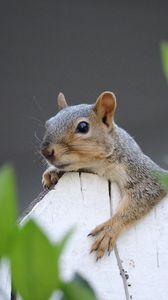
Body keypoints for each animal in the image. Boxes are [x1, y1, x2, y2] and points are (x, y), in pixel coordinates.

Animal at [40, 91, 167, 260]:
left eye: (83, 127)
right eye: (47, 124)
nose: (45, 151)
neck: (97, 165)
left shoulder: (139, 169)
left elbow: (143, 195)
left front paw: (109, 229)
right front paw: (52, 172)